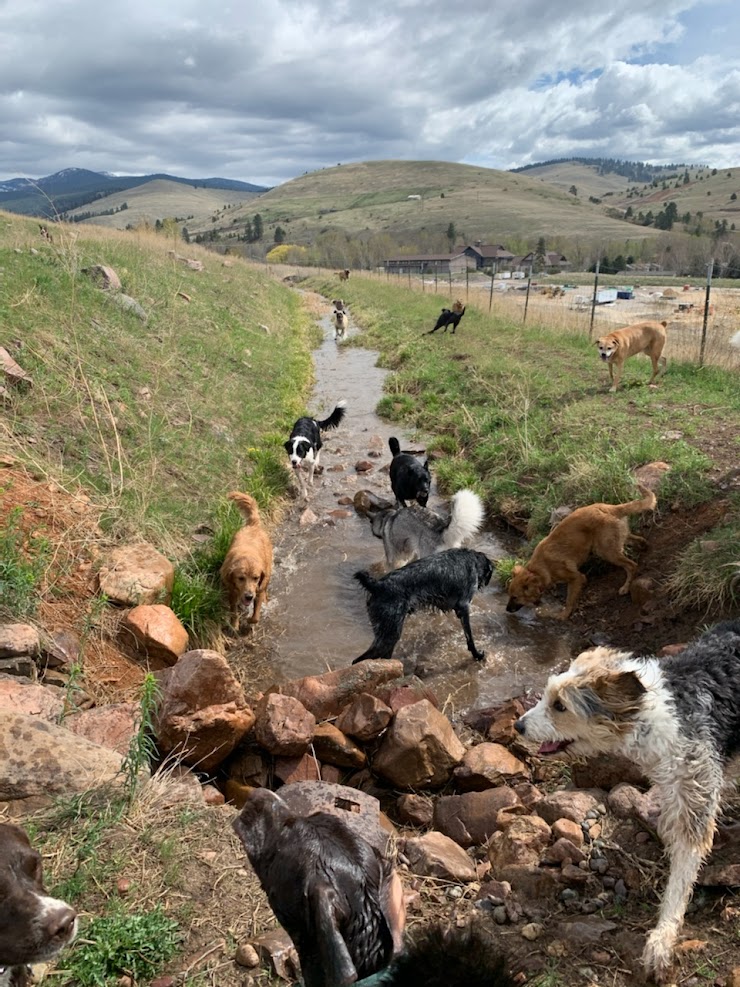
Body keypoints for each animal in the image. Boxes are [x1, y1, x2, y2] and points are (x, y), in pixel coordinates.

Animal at [223, 492, 274, 632]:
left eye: (256, 578)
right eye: (241, 578)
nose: (249, 597)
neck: (247, 557)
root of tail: (253, 525)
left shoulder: (258, 589)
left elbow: (256, 615)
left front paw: (250, 620)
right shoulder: (232, 590)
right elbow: (233, 610)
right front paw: (234, 624)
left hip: (267, 575)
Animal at [352, 548, 492, 664]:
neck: (472, 560)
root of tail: (377, 586)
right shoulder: (463, 607)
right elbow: (470, 638)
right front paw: (477, 655)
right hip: (390, 634)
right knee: (359, 660)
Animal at [506, 484, 656, 620]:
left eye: (515, 597)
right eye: (510, 595)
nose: (507, 610)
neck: (538, 570)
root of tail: (609, 507)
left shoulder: (576, 578)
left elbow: (569, 600)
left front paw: (564, 615)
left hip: (606, 551)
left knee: (631, 565)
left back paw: (625, 587)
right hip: (613, 542)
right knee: (636, 539)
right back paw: (644, 545)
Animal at [516, 620, 740, 984]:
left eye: (560, 706)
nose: (518, 725)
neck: (653, 714)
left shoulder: (694, 796)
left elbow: (681, 878)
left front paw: (661, 940)